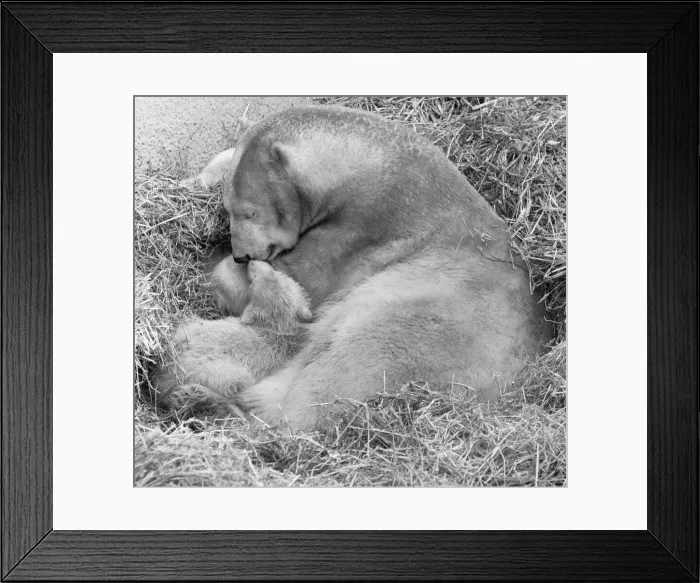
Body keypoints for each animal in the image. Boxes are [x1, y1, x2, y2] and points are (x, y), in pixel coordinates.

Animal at [174, 105, 553, 430]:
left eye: (248, 211)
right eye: (228, 208)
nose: (242, 254)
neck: (376, 168)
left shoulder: (360, 231)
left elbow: (297, 281)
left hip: (419, 321)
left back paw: (211, 402)